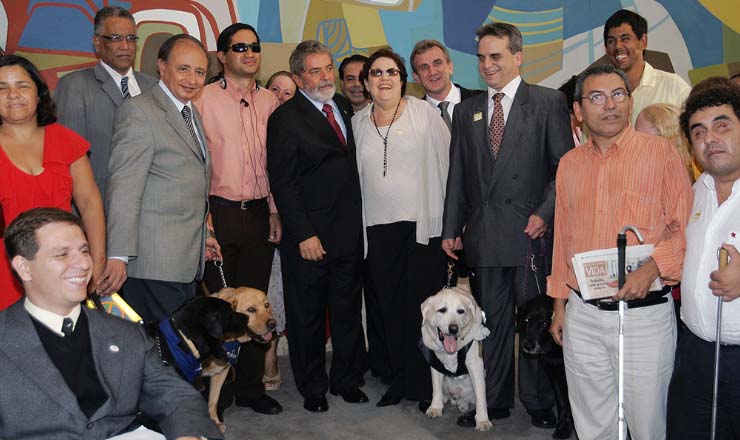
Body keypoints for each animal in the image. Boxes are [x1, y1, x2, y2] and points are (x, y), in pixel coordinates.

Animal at [422, 284, 492, 432]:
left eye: (461, 311)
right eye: (442, 310)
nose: (453, 328)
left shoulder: (475, 366)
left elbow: (481, 398)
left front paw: (483, 420)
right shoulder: (435, 364)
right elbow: (436, 388)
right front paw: (435, 407)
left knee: (470, 398)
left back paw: (462, 404)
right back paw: (446, 400)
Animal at [516, 292, 576, 440]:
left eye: (544, 323)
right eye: (526, 320)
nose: (528, 346)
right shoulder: (554, 373)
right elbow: (563, 403)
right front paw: (563, 427)